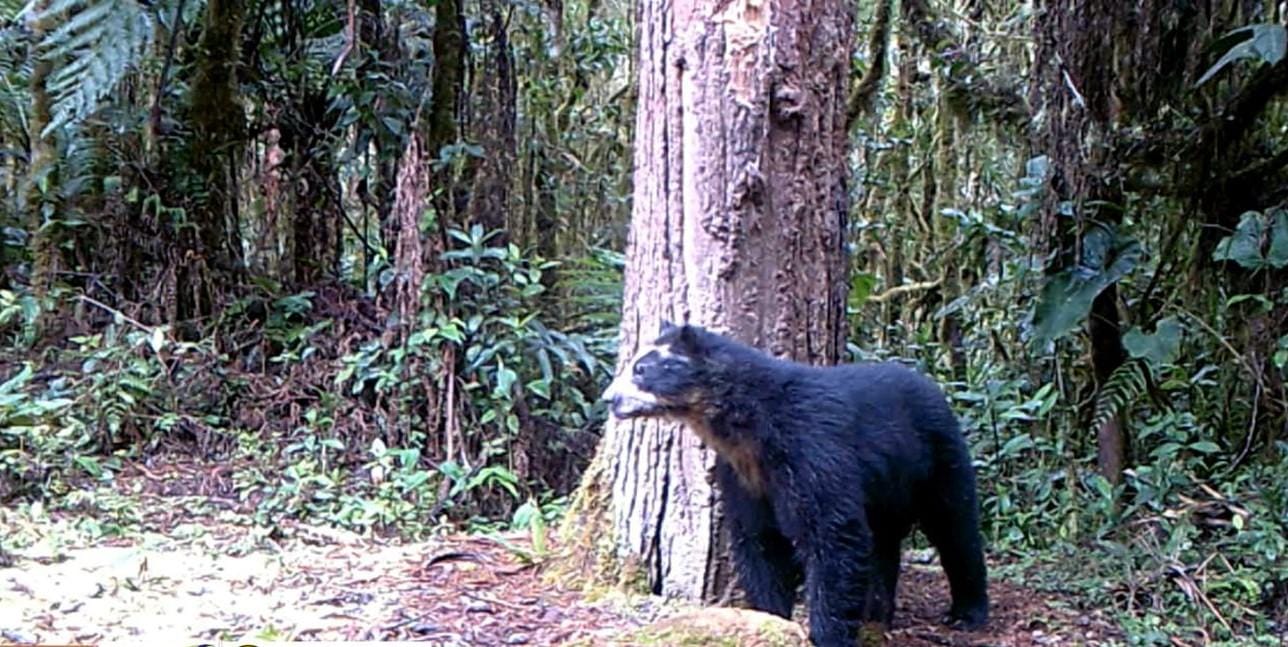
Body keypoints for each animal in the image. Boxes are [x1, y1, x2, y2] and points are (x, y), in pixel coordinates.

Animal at [602, 322, 989, 646]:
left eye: (641, 369)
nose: (609, 399)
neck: (749, 430)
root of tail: (931, 385)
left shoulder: (812, 450)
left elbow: (831, 535)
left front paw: (826, 633)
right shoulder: (742, 474)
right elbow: (758, 540)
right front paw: (769, 617)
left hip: (939, 458)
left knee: (955, 526)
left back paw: (967, 611)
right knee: (884, 543)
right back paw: (877, 612)